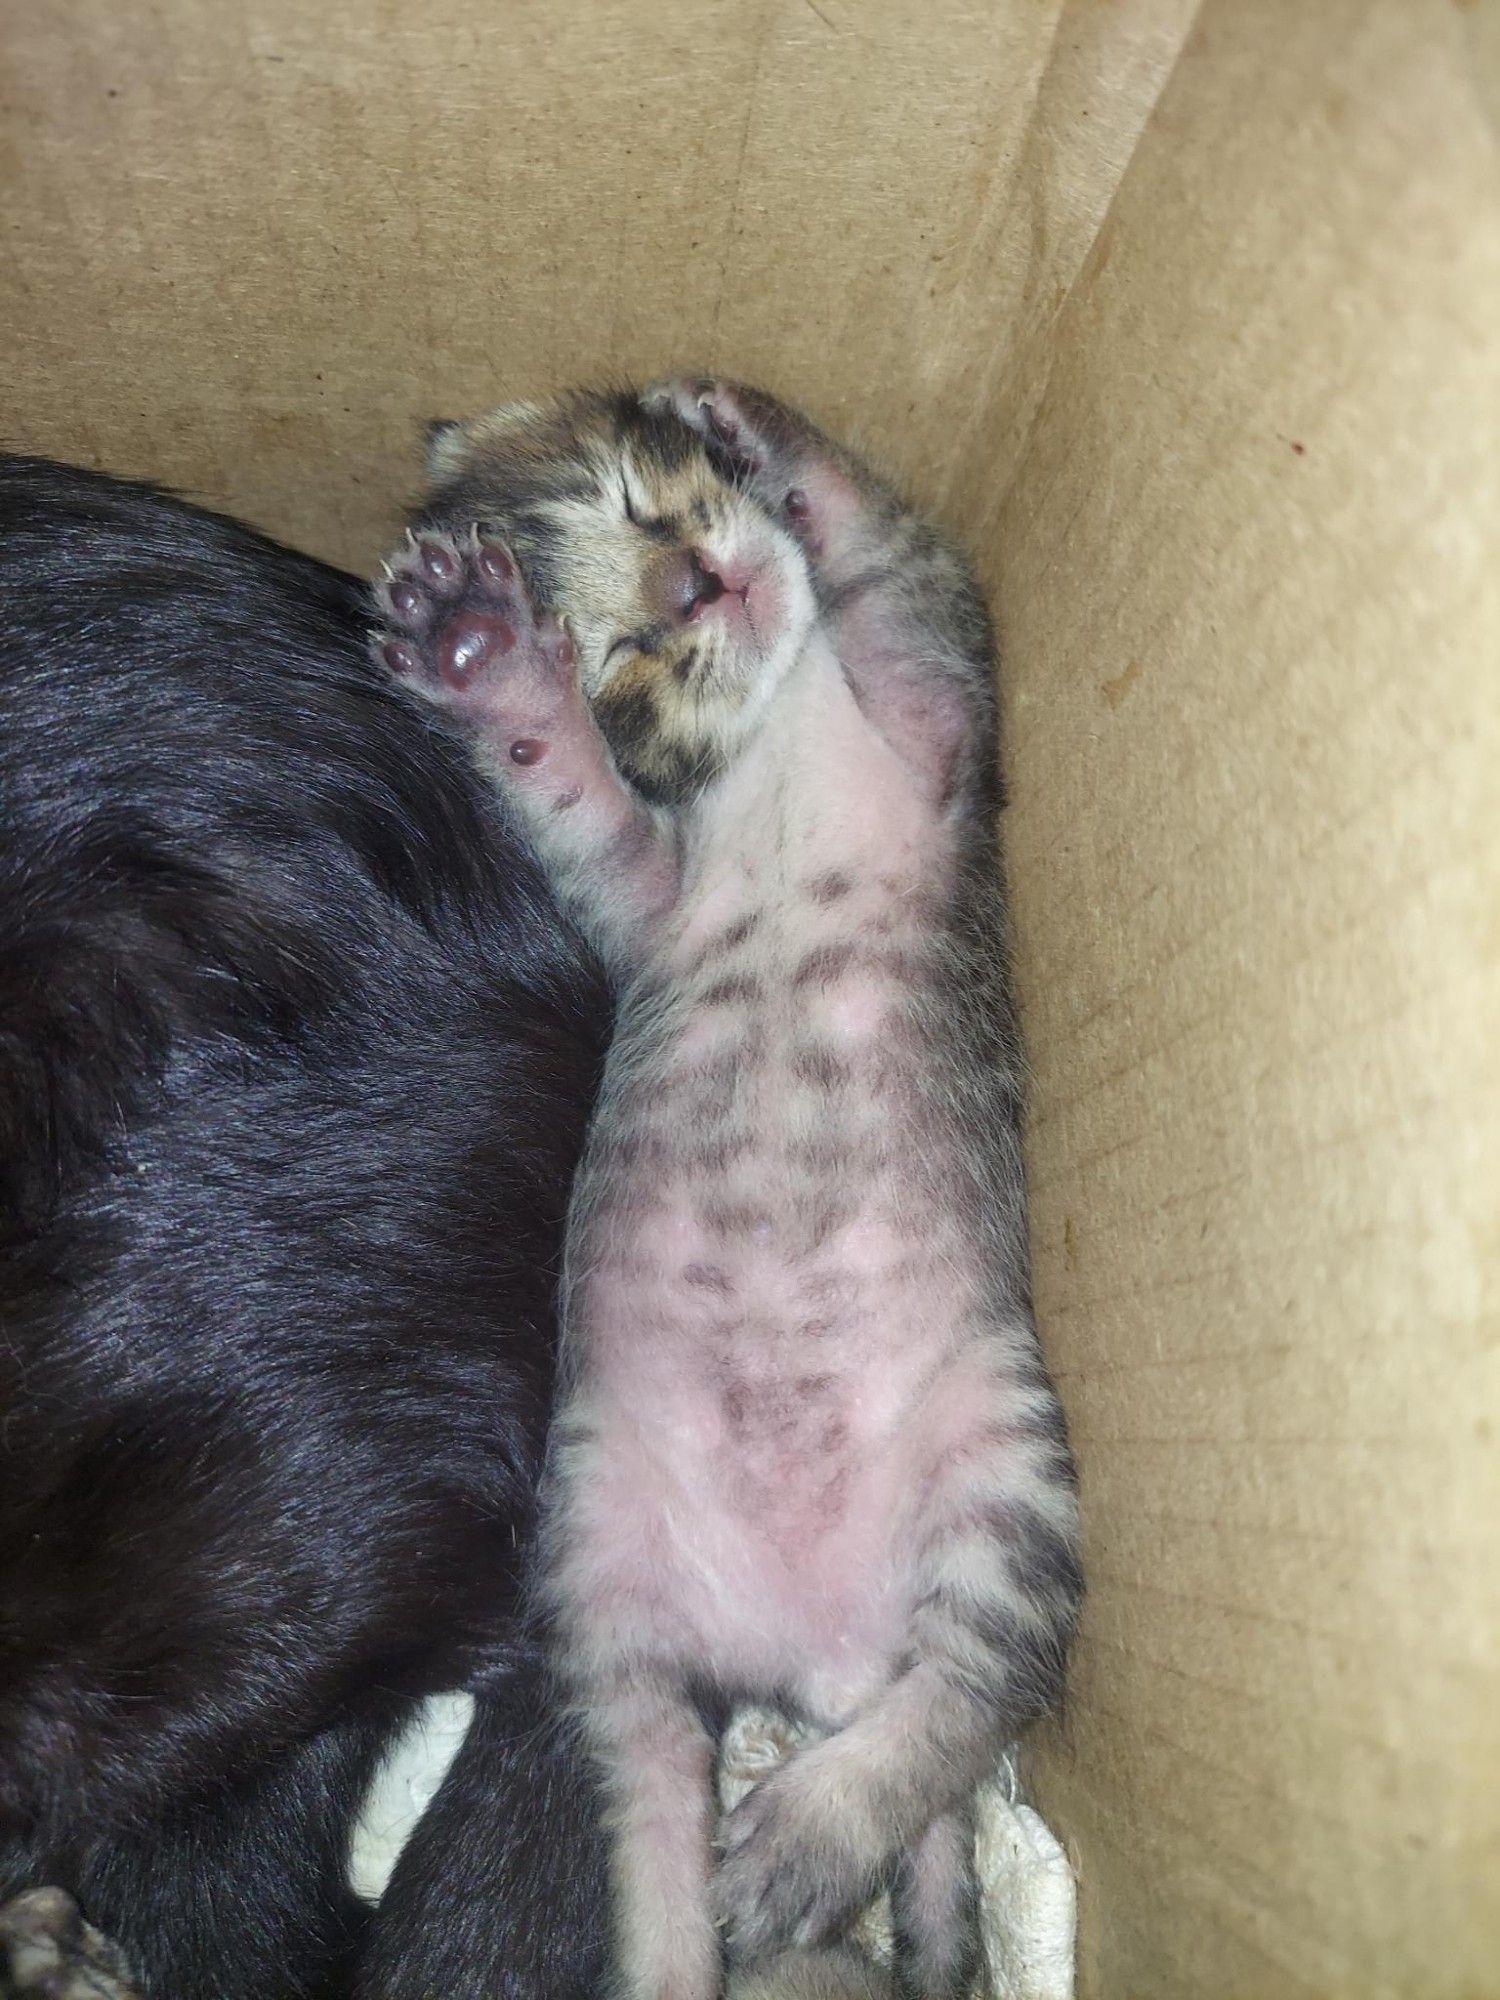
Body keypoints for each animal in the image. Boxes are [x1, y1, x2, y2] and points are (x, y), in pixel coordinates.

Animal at [374, 382, 1080, 1992]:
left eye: (640, 494)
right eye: (617, 654)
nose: (698, 583)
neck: (776, 745)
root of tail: (819, 1656)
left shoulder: (946, 728)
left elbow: (898, 566)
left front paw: (770, 438)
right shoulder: (642, 897)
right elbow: (570, 792)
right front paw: (489, 664)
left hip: (1003, 1457)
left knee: (972, 1682)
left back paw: (808, 1828)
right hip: (598, 1556)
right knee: (671, 1825)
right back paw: (759, 1869)